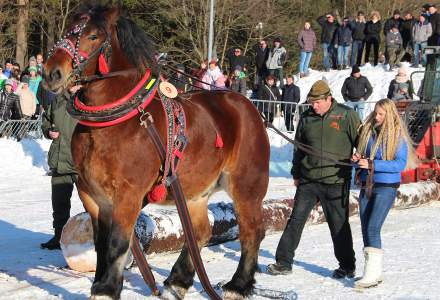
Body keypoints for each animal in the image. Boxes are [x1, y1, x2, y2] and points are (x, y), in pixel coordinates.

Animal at [43, 4, 268, 300]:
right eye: (68, 30)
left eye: (93, 36)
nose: (51, 72)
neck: (113, 123)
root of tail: (249, 106)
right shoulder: (91, 194)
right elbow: (101, 244)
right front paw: (101, 284)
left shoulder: (128, 193)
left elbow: (117, 242)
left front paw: (106, 289)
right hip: (194, 192)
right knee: (200, 232)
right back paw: (177, 281)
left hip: (246, 185)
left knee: (251, 231)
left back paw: (237, 285)